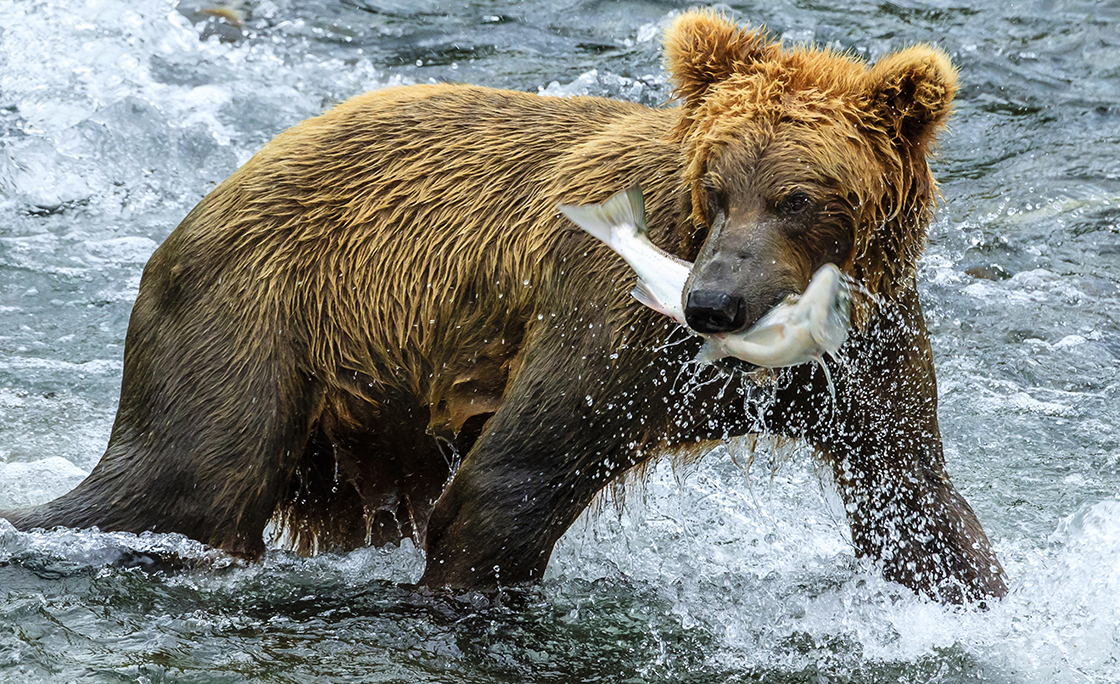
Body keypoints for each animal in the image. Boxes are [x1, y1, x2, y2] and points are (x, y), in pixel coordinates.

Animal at [1, 10, 1007, 603]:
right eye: (716, 186)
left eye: (798, 197)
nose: (713, 303)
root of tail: (196, 207)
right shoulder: (612, 327)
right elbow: (512, 484)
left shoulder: (865, 356)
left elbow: (914, 499)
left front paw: (974, 594)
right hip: (257, 317)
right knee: (182, 479)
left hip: (369, 415)